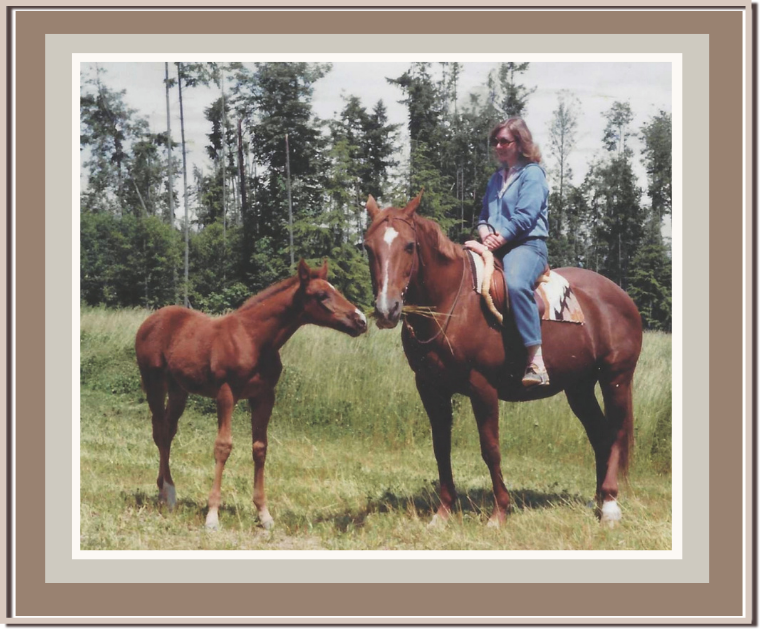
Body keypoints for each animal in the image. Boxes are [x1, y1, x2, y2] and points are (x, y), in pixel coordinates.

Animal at [135, 259, 367, 530]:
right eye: (322, 295)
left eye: (335, 290)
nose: (361, 320)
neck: (253, 339)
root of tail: (151, 320)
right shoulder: (226, 394)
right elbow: (223, 446)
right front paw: (212, 516)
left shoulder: (264, 396)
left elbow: (260, 448)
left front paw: (264, 514)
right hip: (154, 382)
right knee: (160, 431)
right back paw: (166, 493)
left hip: (178, 388)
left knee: (168, 431)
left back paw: (167, 492)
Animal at [363, 192, 643, 528]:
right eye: (368, 247)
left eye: (409, 246)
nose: (386, 309)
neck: (452, 303)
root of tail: (621, 296)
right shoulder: (430, 389)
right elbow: (441, 447)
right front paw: (443, 513)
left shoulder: (483, 388)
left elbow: (490, 448)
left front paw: (499, 512)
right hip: (580, 387)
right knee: (600, 435)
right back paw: (599, 500)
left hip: (615, 379)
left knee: (615, 435)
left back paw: (611, 504)